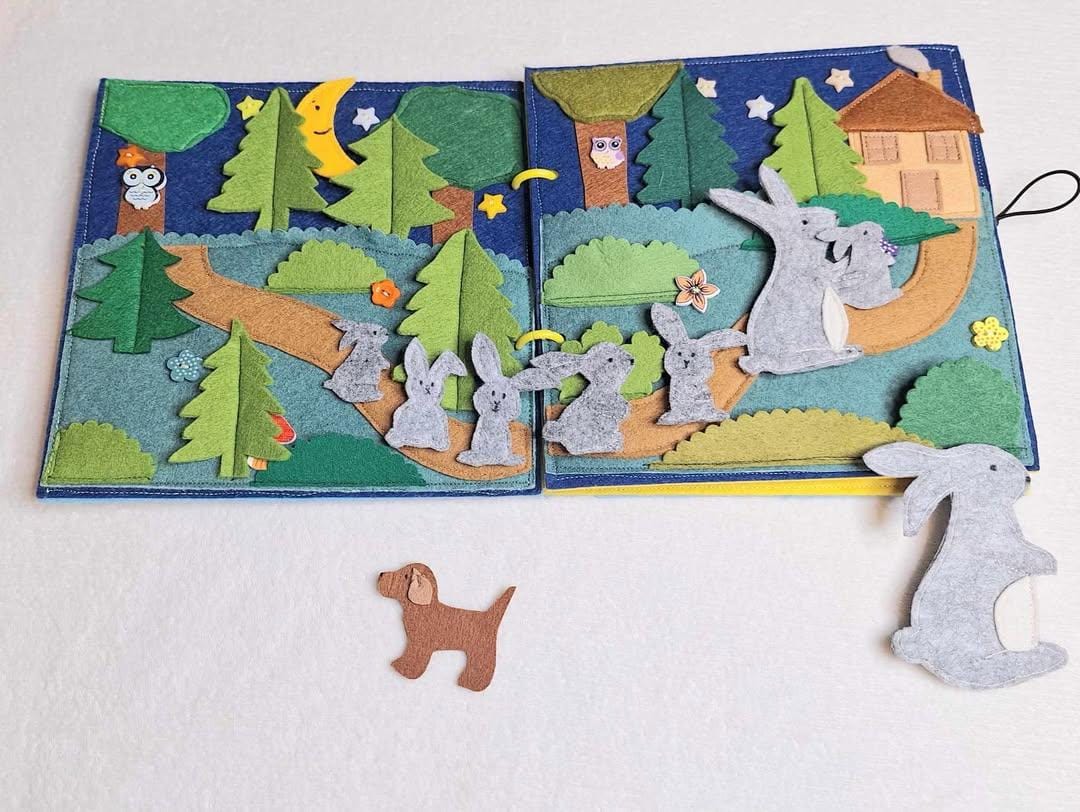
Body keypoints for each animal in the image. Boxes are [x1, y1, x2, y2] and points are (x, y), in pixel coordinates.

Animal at [377, 563, 516, 692]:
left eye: (405, 575)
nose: (381, 574)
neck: (422, 608)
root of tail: (489, 616)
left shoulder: (420, 644)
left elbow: (413, 658)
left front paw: (403, 669)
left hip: (481, 650)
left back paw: (469, 684)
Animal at [708, 164, 862, 376]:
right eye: (804, 222)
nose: (836, 215)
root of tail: (760, 361)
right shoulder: (814, 275)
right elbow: (830, 274)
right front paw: (849, 264)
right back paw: (839, 354)